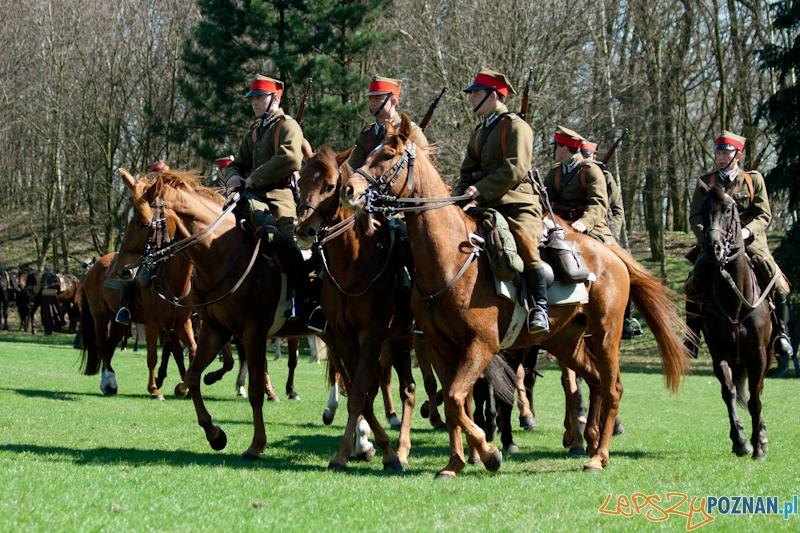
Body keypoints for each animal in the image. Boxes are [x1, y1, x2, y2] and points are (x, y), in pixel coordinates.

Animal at [80, 250, 197, 400]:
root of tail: (93, 268)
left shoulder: (181, 324)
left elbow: (191, 350)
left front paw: (184, 387)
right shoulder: (153, 325)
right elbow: (154, 357)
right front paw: (154, 390)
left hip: (118, 323)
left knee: (109, 346)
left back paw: (107, 384)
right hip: (100, 315)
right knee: (101, 345)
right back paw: (110, 381)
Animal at [113, 168, 324, 460]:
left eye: (144, 223)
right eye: (124, 218)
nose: (123, 271)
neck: (220, 253)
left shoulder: (253, 333)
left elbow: (255, 389)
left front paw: (257, 444)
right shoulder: (214, 330)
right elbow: (193, 375)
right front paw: (214, 434)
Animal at [340, 114, 692, 476]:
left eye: (388, 155)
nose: (349, 189)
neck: (449, 259)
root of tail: (609, 253)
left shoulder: (482, 345)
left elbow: (455, 398)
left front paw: (489, 452)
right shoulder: (440, 348)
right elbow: (454, 404)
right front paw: (455, 463)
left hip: (606, 334)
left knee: (611, 388)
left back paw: (598, 456)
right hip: (565, 341)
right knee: (593, 381)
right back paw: (590, 443)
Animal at [696, 183, 772, 458]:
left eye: (729, 209)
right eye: (702, 211)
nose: (713, 248)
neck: (736, 303)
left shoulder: (759, 354)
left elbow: (755, 399)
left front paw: (758, 445)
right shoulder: (720, 353)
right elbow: (728, 392)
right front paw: (741, 441)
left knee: (758, 391)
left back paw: (762, 436)